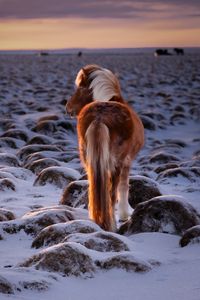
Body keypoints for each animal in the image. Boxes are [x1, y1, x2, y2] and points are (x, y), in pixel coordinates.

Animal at [66, 64, 145, 231]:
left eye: (80, 88)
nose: (67, 107)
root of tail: (99, 117)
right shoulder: (127, 162)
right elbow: (124, 188)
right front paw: (124, 215)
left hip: (89, 160)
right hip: (116, 164)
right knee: (112, 193)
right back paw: (112, 225)